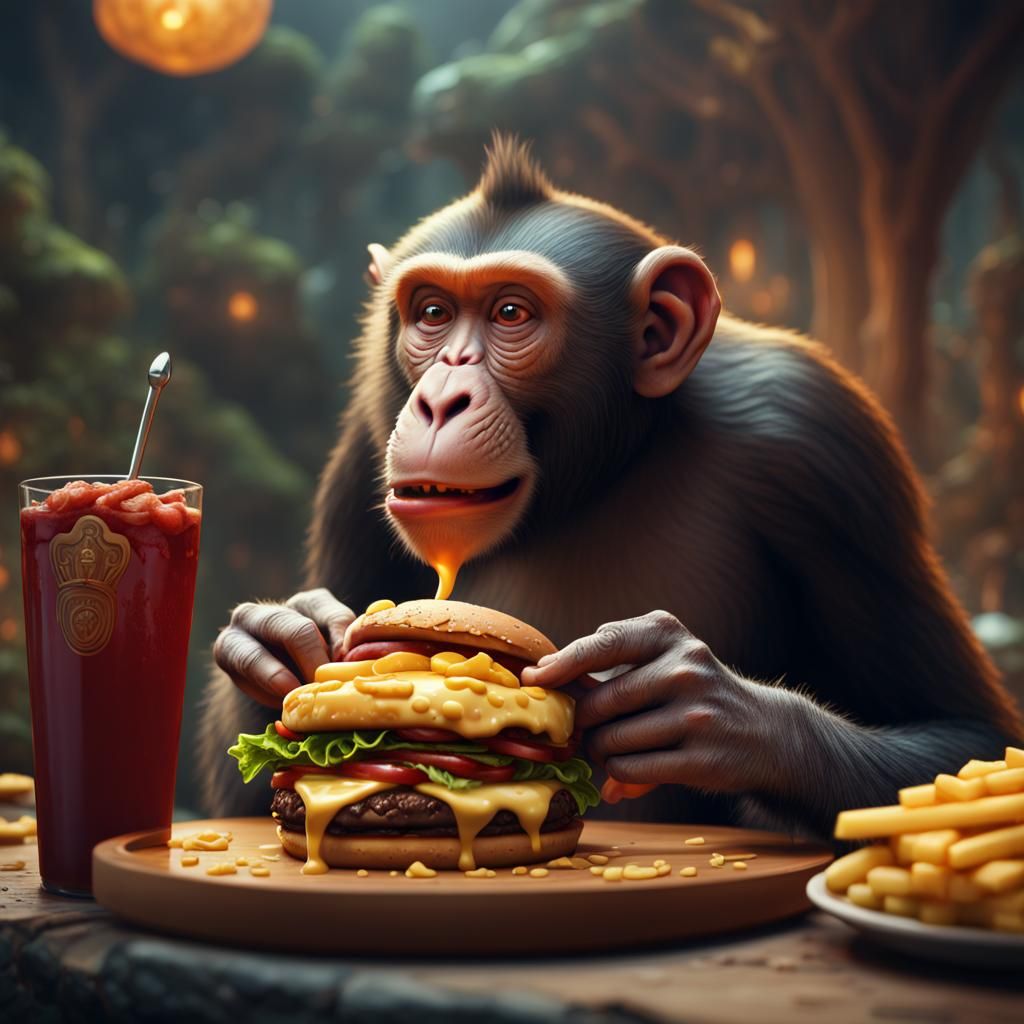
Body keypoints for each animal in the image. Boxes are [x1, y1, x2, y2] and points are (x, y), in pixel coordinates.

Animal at [199, 136, 1021, 839]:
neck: (606, 467)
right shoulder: (361, 450)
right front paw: (283, 636)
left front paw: (706, 709)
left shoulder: (819, 442)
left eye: (511, 312)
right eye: (431, 312)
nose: (438, 400)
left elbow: (967, 731)